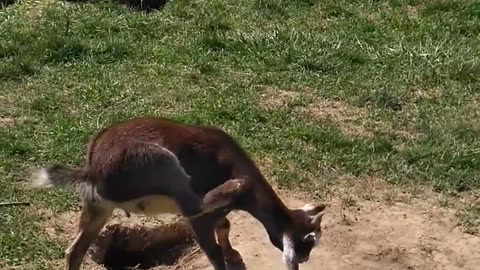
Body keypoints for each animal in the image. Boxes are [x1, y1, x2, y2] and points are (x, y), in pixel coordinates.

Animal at [31, 117, 326, 270]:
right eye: (304, 245)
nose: (304, 259)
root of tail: (93, 168)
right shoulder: (200, 221)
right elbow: (213, 252)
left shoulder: (217, 216)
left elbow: (225, 226)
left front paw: (232, 253)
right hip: (159, 160)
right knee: (193, 202)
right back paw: (235, 186)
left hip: (97, 207)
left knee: (74, 250)